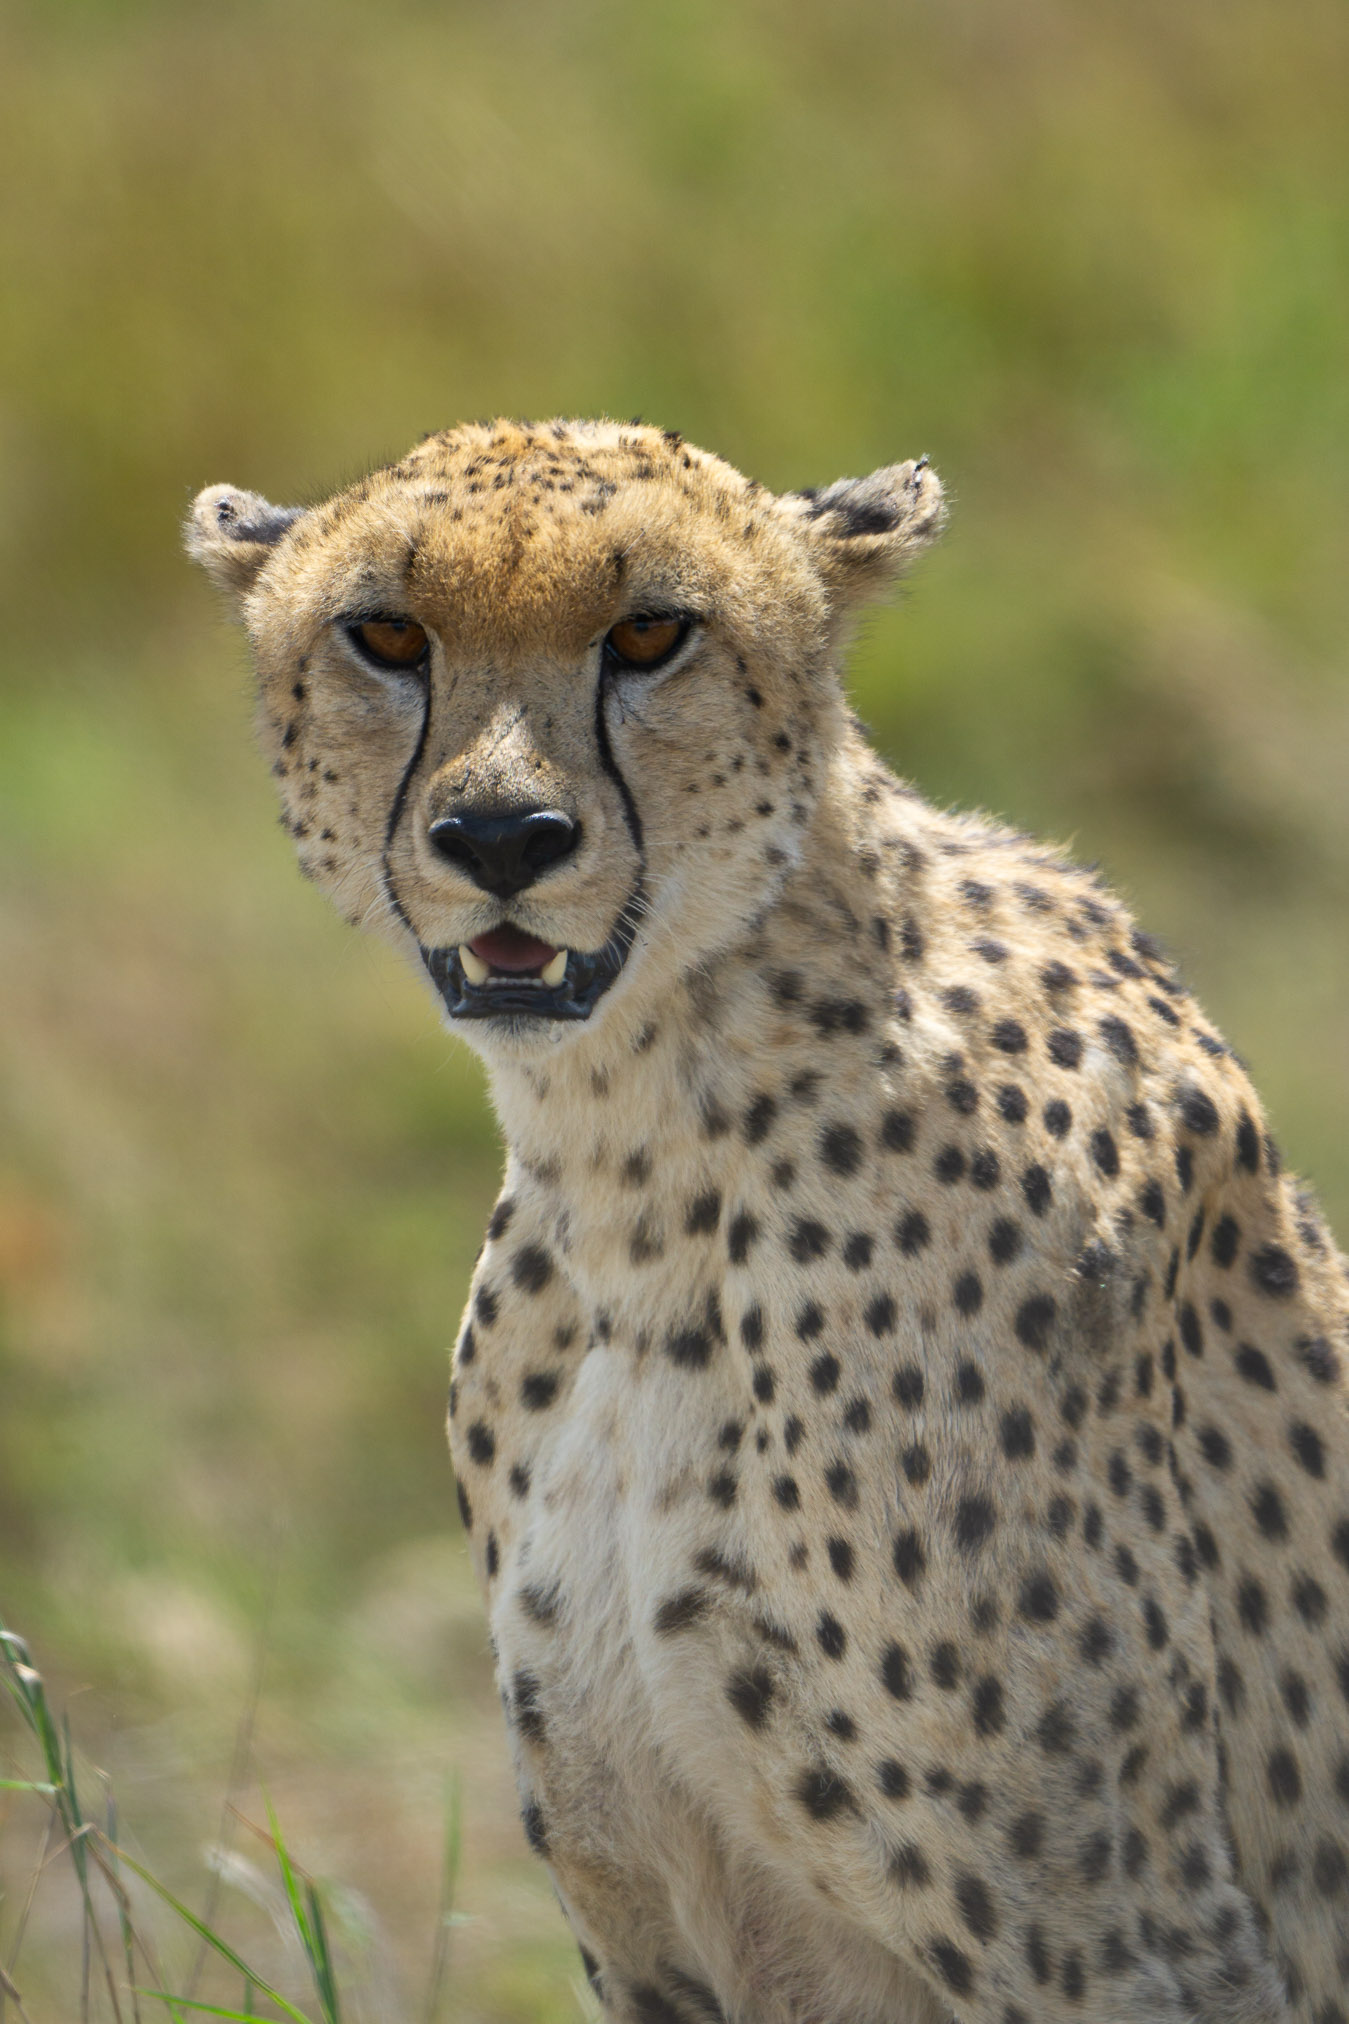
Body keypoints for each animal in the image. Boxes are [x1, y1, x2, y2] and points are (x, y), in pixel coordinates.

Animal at [187, 418, 1349, 2024]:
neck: (636, 1164)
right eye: (388, 635)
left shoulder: (1128, 1943)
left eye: (650, 634)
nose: (501, 836)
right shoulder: (659, 1932)